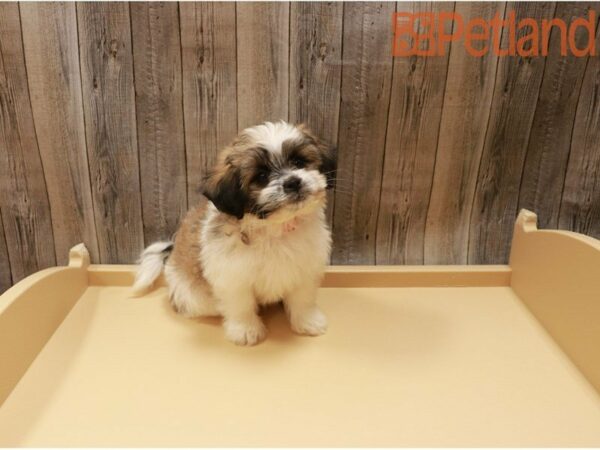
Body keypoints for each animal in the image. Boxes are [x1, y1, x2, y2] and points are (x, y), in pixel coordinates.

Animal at [133, 121, 336, 346]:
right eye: (262, 176)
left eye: (299, 161)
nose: (293, 182)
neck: (274, 229)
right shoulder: (233, 277)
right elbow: (241, 304)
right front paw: (246, 330)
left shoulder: (306, 268)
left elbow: (303, 297)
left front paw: (308, 321)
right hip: (193, 297)